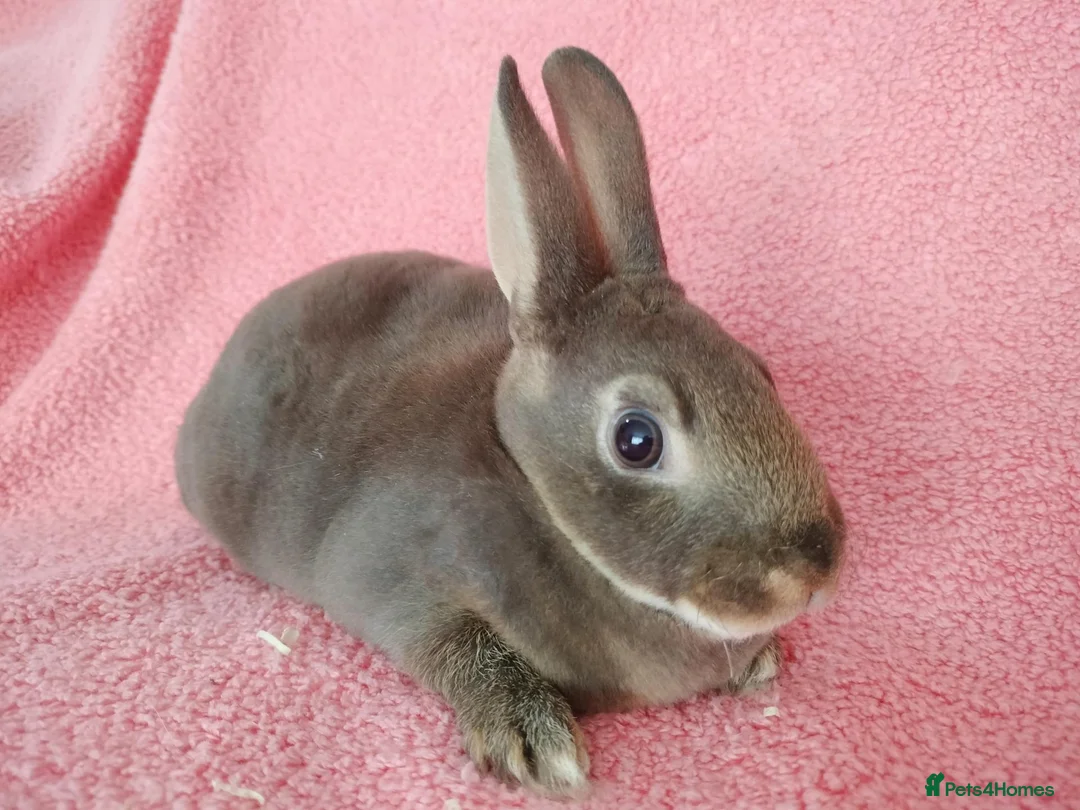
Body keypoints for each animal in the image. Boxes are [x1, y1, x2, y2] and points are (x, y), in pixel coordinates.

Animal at [175, 46, 846, 797]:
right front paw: (536, 741)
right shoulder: (398, 578)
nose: (813, 570)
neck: (530, 484)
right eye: (636, 440)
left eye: (760, 371)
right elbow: (454, 645)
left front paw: (761, 661)